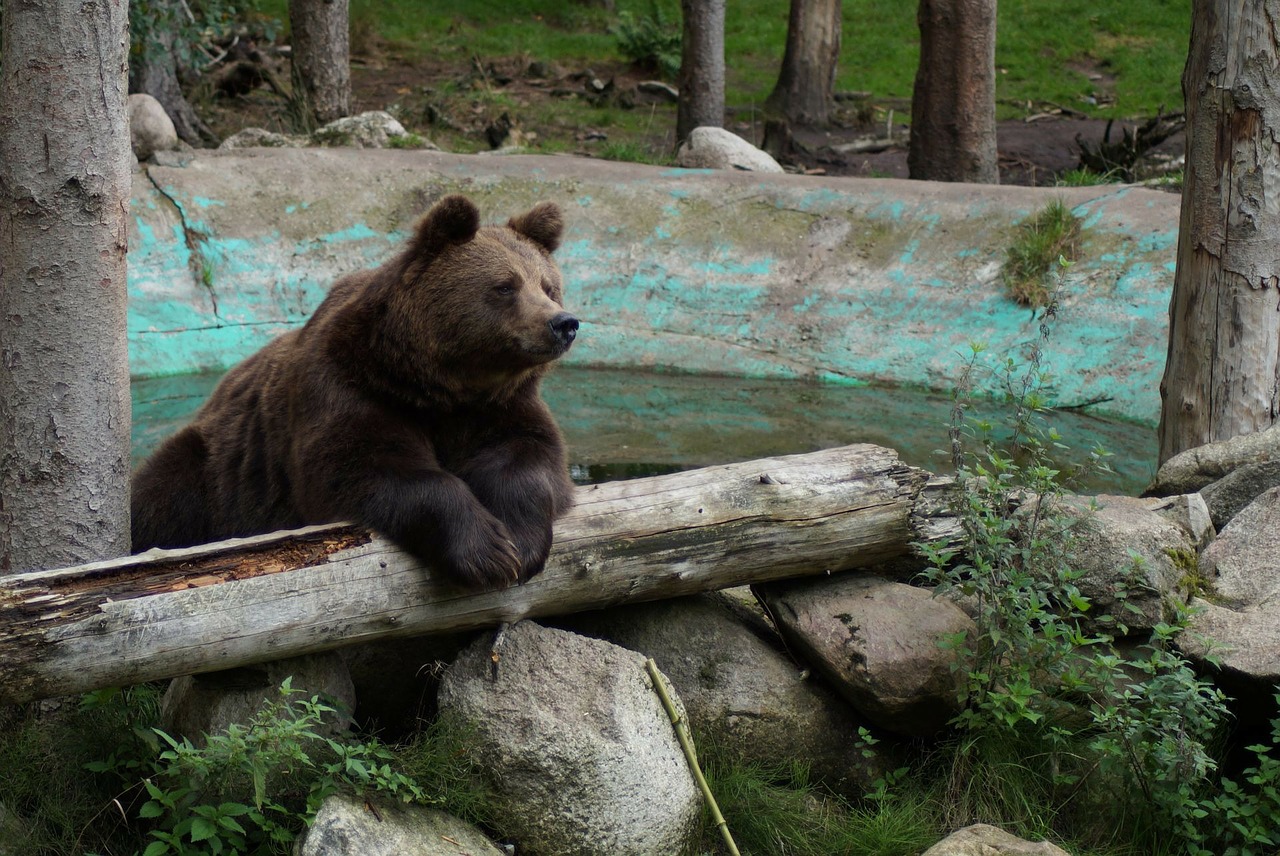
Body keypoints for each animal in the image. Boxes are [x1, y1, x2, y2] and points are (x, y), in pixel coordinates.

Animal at [133, 194, 581, 591]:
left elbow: (528, 456)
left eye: (548, 286)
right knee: (165, 491)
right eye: (505, 286)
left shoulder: (499, 405)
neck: (441, 385)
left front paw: (519, 543)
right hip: (220, 465)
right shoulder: (349, 386)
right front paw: (486, 552)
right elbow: (365, 466)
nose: (564, 323)